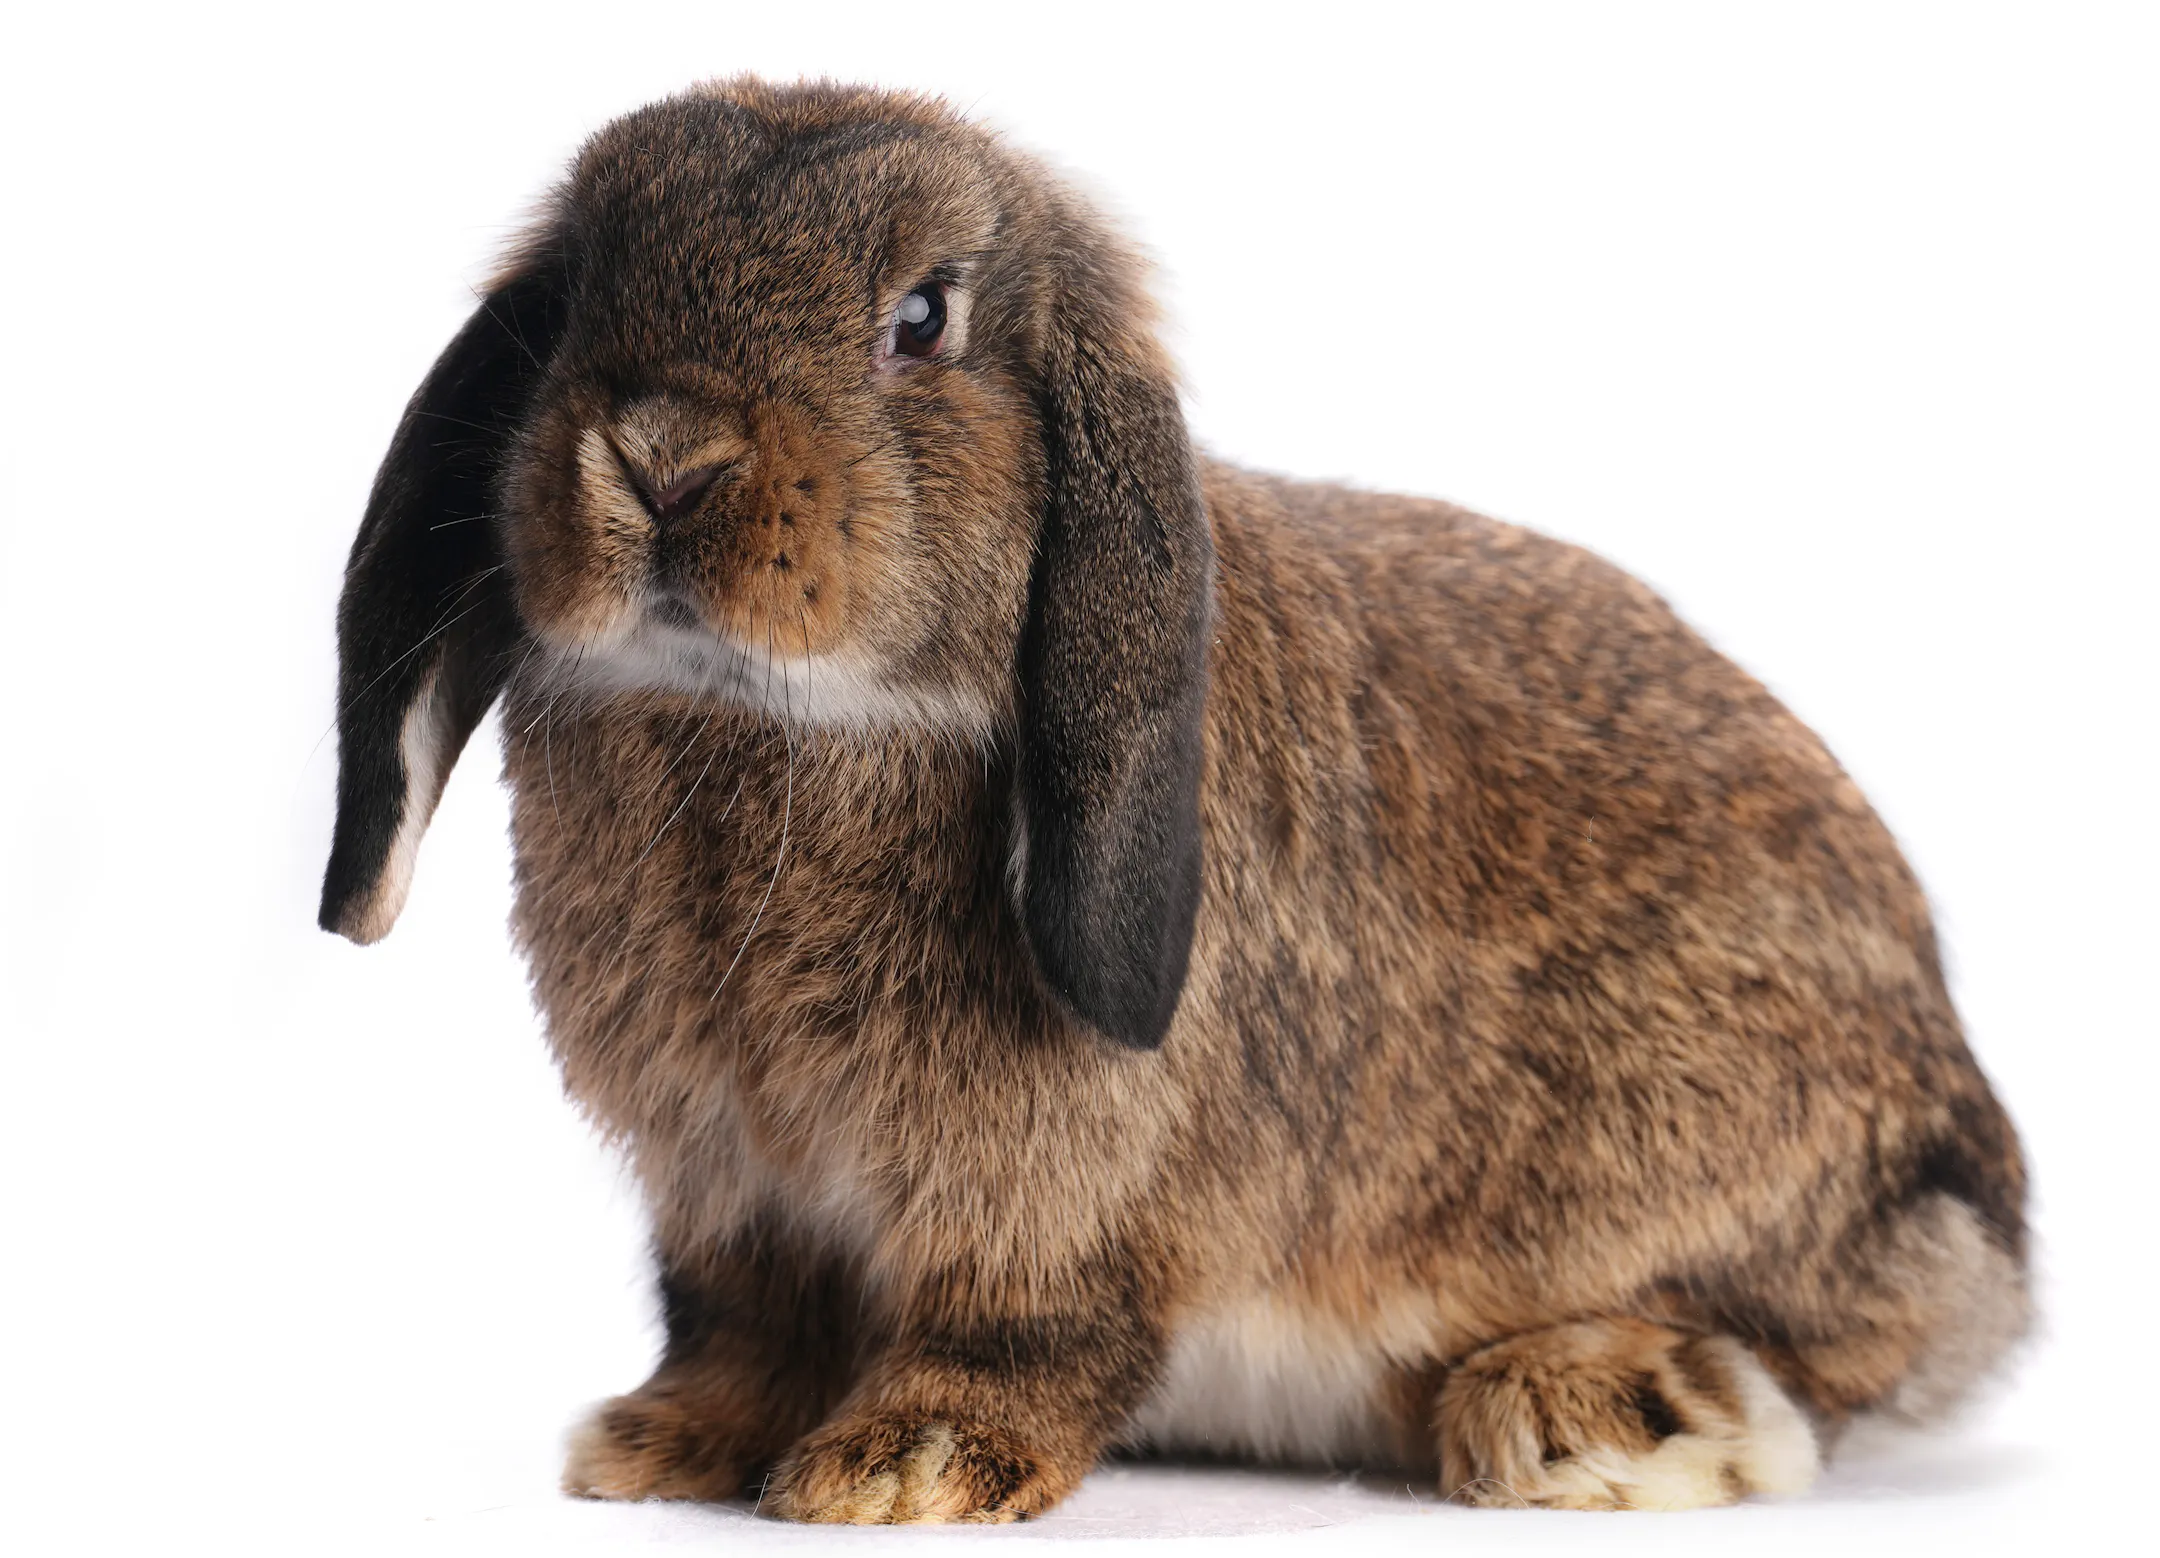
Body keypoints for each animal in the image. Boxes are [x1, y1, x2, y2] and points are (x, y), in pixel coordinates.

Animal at [320, 77, 2029, 1522]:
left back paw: (1592, 1409)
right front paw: (661, 1445)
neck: (765, 723)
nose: (663, 454)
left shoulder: (1050, 1191)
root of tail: (1975, 1181)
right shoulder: (727, 1190)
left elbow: (1020, 1326)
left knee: (1822, 1355)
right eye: (573, 310)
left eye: (923, 318)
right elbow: (738, 1327)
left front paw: (900, 1466)